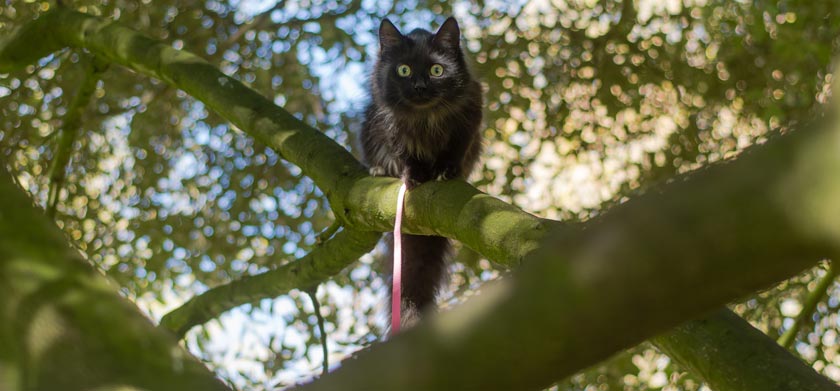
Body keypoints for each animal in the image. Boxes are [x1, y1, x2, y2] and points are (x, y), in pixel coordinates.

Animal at [360, 17, 482, 328]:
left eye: (436, 70)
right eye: (403, 70)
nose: (419, 86)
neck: (425, 117)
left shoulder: (469, 118)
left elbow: (453, 151)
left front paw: (446, 172)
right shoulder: (390, 126)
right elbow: (408, 157)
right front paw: (414, 176)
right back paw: (380, 169)